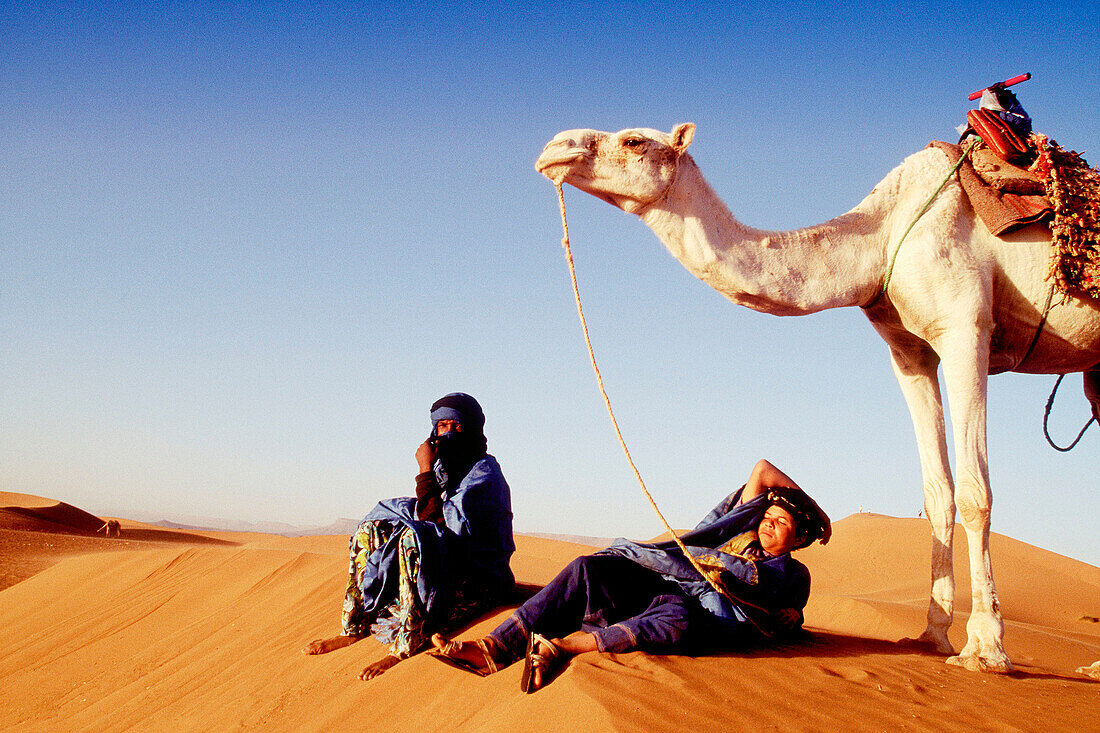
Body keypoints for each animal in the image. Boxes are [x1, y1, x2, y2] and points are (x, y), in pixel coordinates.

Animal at [539, 122, 1100, 669]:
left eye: (633, 140)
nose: (554, 147)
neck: (883, 238)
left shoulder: (966, 329)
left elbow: (973, 491)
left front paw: (984, 647)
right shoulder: (910, 351)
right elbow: (938, 494)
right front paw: (932, 635)